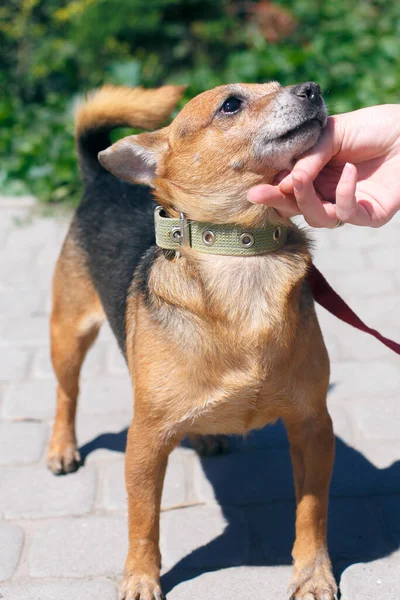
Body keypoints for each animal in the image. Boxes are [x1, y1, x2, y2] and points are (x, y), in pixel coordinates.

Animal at [48, 81, 338, 600]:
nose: (311, 88)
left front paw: (312, 573)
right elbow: (143, 519)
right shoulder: (146, 442)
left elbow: (311, 510)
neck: (242, 256)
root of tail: (101, 180)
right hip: (68, 334)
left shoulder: (312, 426)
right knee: (67, 392)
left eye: (277, 86)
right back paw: (62, 447)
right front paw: (141, 577)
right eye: (231, 104)